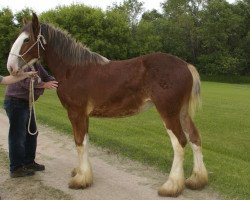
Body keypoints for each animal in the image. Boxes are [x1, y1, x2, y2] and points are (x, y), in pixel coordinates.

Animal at [6, 13, 208, 198]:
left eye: (27, 39)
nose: (11, 67)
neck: (73, 70)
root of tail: (186, 66)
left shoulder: (76, 113)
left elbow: (79, 142)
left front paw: (80, 180)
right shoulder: (83, 116)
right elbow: (84, 141)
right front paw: (82, 173)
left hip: (168, 112)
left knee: (179, 142)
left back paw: (171, 186)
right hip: (182, 112)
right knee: (194, 138)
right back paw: (196, 180)